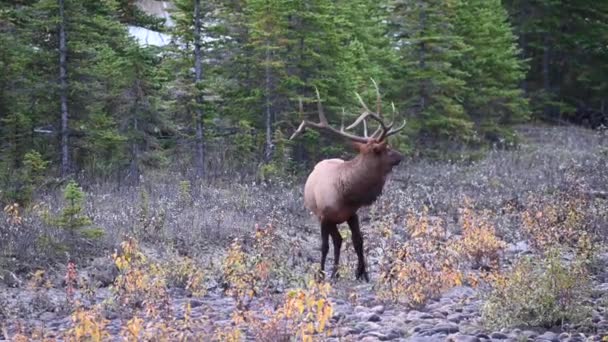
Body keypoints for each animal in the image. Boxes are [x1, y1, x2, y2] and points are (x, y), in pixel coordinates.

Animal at [288, 83, 404, 280]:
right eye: (386, 149)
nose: (401, 155)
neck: (346, 194)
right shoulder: (324, 217)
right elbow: (324, 246)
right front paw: (320, 274)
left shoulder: (352, 214)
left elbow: (358, 241)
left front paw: (363, 273)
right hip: (325, 217)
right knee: (336, 240)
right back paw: (332, 272)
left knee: (339, 240)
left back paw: (336, 272)